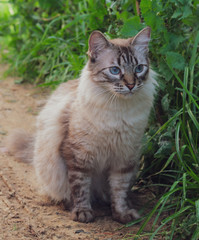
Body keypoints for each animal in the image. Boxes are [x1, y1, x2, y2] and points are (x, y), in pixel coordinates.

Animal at [7, 27, 157, 224]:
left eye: (139, 69)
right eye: (115, 70)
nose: (131, 85)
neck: (118, 111)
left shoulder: (124, 159)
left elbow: (119, 191)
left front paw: (122, 214)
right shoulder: (79, 157)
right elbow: (80, 188)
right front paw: (82, 213)